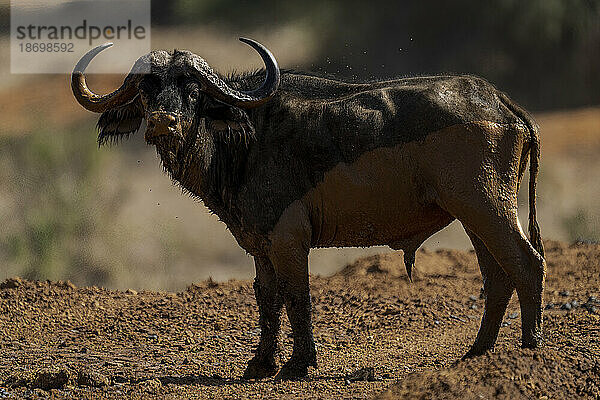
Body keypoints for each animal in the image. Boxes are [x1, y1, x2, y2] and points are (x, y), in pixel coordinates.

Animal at [70, 39, 544, 380]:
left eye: (191, 89)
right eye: (147, 88)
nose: (163, 123)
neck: (247, 136)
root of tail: (500, 102)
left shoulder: (288, 239)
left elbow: (297, 296)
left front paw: (298, 363)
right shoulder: (259, 244)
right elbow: (267, 299)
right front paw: (260, 364)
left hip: (486, 207)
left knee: (526, 263)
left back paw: (529, 348)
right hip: (474, 216)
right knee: (498, 275)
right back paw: (478, 354)